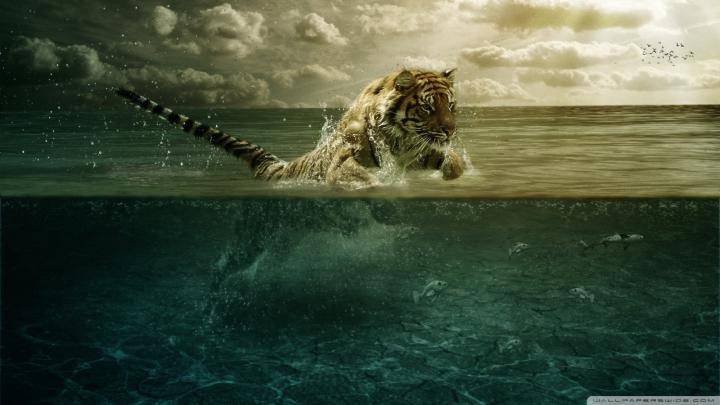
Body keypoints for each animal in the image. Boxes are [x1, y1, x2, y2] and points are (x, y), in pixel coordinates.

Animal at [116, 68, 465, 187]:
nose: (450, 131)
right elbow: (358, 176)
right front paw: (377, 185)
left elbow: (453, 162)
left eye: (451, 106)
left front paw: (452, 173)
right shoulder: (346, 158)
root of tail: (276, 167)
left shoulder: (420, 152)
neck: (402, 140)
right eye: (427, 107)